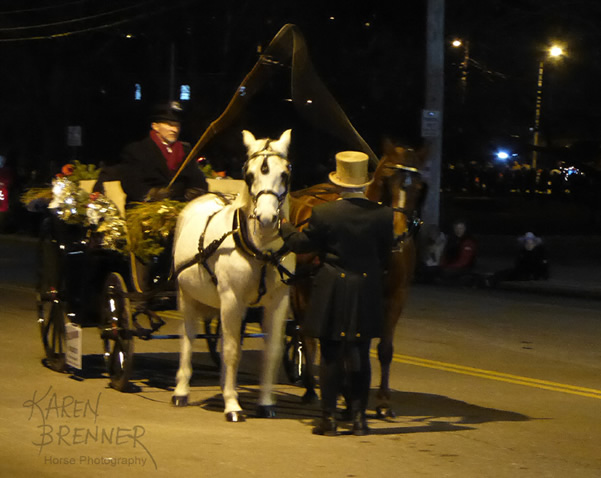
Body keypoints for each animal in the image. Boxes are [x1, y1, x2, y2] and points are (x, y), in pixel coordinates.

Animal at [172, 128, 294, 422]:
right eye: (249, 175)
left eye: (285, 174)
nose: (266, 218)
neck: (260, 249)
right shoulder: (231, 298)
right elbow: (231, 351)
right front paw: (232, 405)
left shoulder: (279, 301)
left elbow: (271, 352)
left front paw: (265, 403)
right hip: (186, 294)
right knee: (188, 337)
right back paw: (181, 390)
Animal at [288, 140, 424, 416]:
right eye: (386, 180)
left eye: (418, 187)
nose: (398, 232)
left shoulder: (396, 297)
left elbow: (383, 349)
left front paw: (382, 401)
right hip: (302, 290)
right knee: (307, 336)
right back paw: (310, 389)